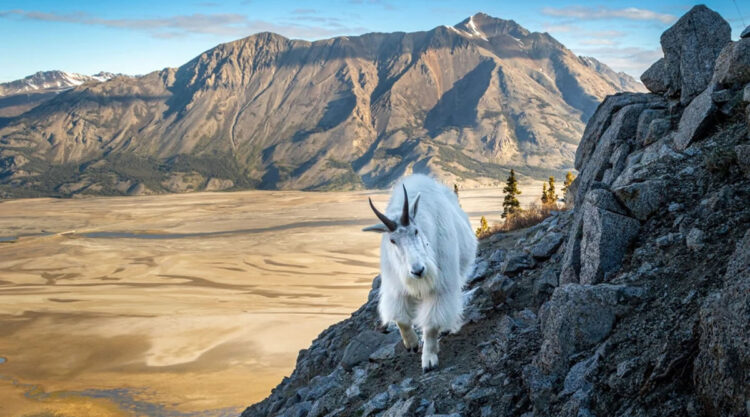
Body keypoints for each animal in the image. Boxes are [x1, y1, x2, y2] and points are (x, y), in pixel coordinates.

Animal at [362, 172, 476, 370]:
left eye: (415, 231)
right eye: (392, 240)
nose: (418, 270)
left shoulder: (440, 287)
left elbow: (431, 325)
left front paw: (429, 360)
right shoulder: (396, 287)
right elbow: (401, 319)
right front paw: (412, 344)